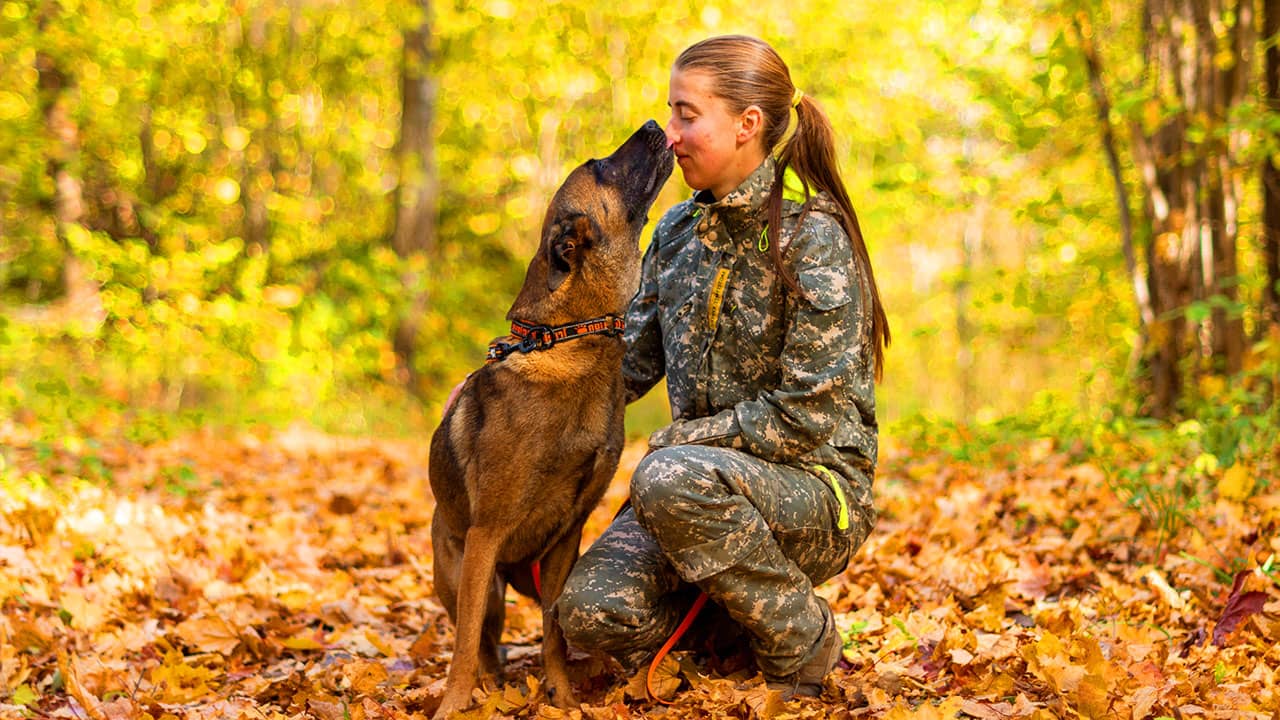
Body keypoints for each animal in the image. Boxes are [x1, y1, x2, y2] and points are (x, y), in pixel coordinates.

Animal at [427, 120, 670, 712]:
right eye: (600, 167)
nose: (656, 124)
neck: (572, 339)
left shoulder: (566, 538)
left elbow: (554, 629)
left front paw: (561, 694)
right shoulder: (486, 536)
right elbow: (463, 645)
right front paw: (453, 705)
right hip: (472, 575)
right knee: (481, 638)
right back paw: (488, 687)